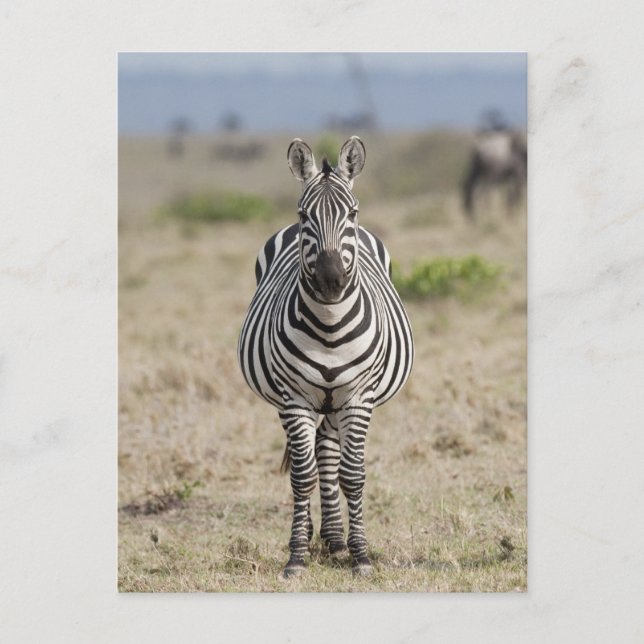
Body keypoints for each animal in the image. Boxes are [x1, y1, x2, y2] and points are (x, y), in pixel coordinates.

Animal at [238, 136, 414, 577]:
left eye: (352, 213)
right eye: (304, 215)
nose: (332, 281)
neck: (330, 327)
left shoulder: (359, 398)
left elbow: (353, 475)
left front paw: (360, 555)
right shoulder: (294, 398)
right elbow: (302, 477)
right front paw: (296, 556)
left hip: (337, 402)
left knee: (328, 453)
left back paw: (335, 539)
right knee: (315, 459)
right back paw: (320, 536)